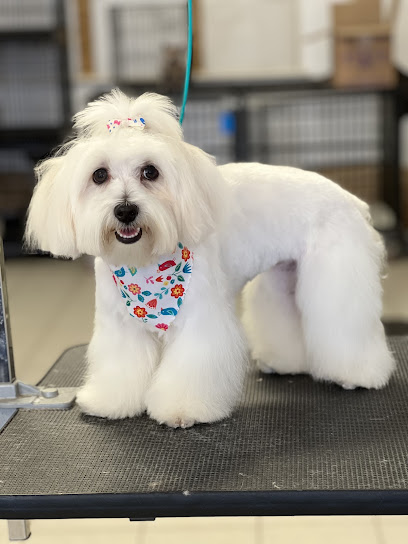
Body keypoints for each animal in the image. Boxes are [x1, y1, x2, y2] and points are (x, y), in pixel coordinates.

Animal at [25, 90, 396, 430]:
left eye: (150, 172)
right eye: (99, 175)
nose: (126, 210)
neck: (144, 264)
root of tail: (349, 198)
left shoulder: (200, 319)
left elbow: (192, 365)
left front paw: (183, 409)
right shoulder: (120, 324)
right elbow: (121, 367)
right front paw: (110, 402)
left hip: (336, 278)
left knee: (344, 325)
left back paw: (360, 373)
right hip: (283, 279)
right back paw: (284, 361)